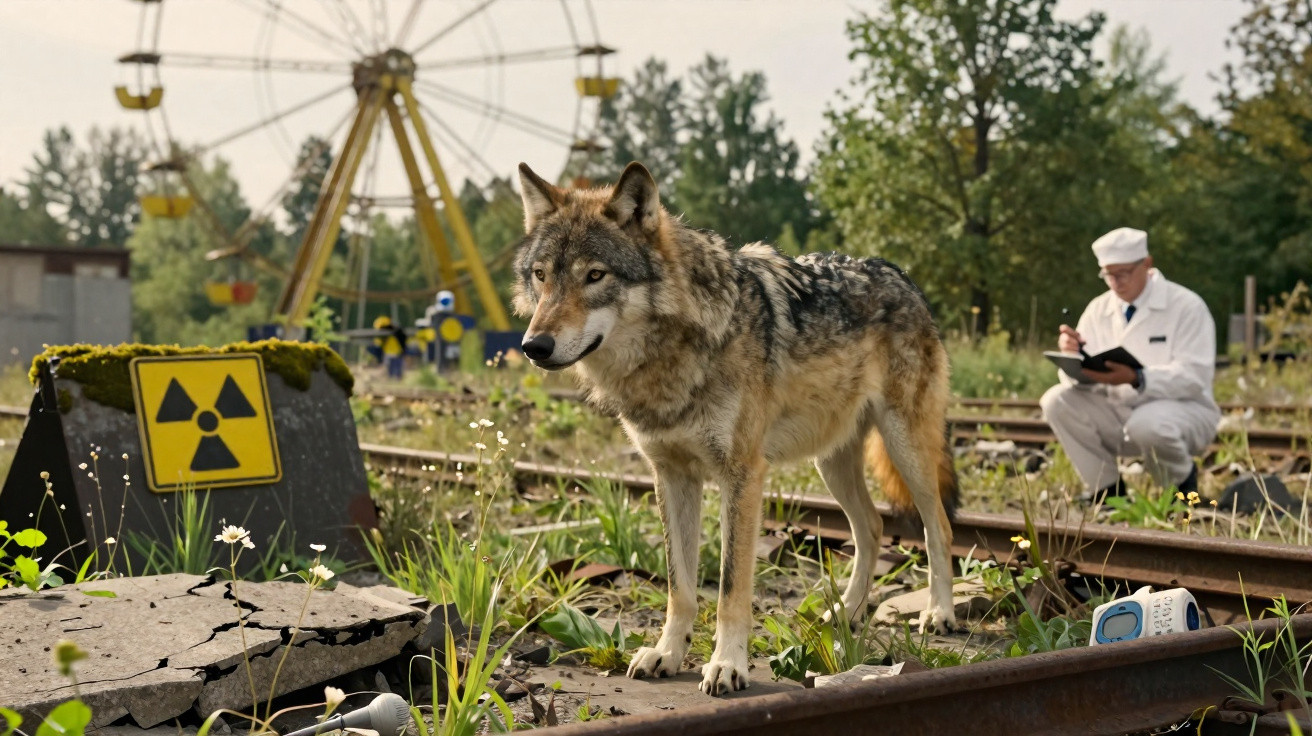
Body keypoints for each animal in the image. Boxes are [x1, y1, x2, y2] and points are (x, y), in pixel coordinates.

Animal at [513, 161, 958, 696]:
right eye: (542, 277)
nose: (534, 345)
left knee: (937, 527)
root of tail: (900, 274)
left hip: (905, 448)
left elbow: (729, 588)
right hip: (831, 463)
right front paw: (667, 654)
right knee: (871, 527)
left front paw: (727, 665)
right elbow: (680, 586)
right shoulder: (671, 476)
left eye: (594, 275)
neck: (671, 359)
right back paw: (844, 614)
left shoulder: (742, 475)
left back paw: (939, 613)